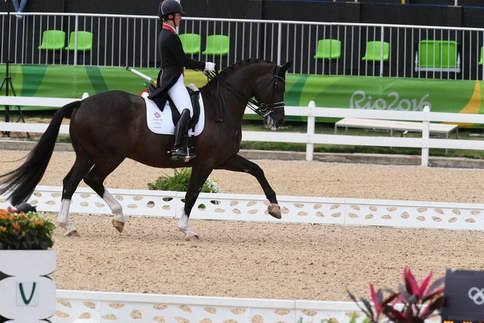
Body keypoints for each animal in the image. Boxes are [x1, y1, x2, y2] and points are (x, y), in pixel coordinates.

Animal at [0, 58, 292, 240]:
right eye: (279, 84)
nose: (278, 121)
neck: (221, 107)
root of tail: (82, 104)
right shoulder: (205, 162)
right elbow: (193, 193)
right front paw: (186, 230)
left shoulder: (225, 159)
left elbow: (257, 169)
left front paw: (275, 208)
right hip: (109, 156)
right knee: (90, 179)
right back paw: (109, 218)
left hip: (87, 154)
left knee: (73, 181)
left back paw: (77, 224)